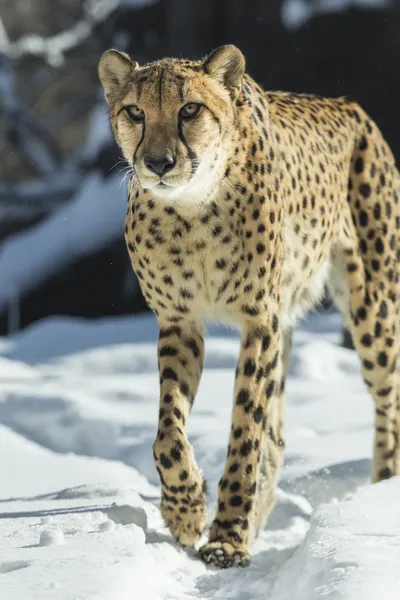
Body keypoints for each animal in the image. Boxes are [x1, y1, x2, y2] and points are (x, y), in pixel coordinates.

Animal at [97, 44, 400, 568]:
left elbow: (244, 431)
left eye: (190, 110)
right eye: (135, 112)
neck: (193, 211)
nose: (158, 162)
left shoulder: (260, 322)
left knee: (390, 401)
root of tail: (349, 105)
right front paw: (185, 508)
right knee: (277, 438)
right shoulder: (180, 321)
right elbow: (168, 430)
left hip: (373, 309)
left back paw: (381, 490)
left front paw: (226, 537)